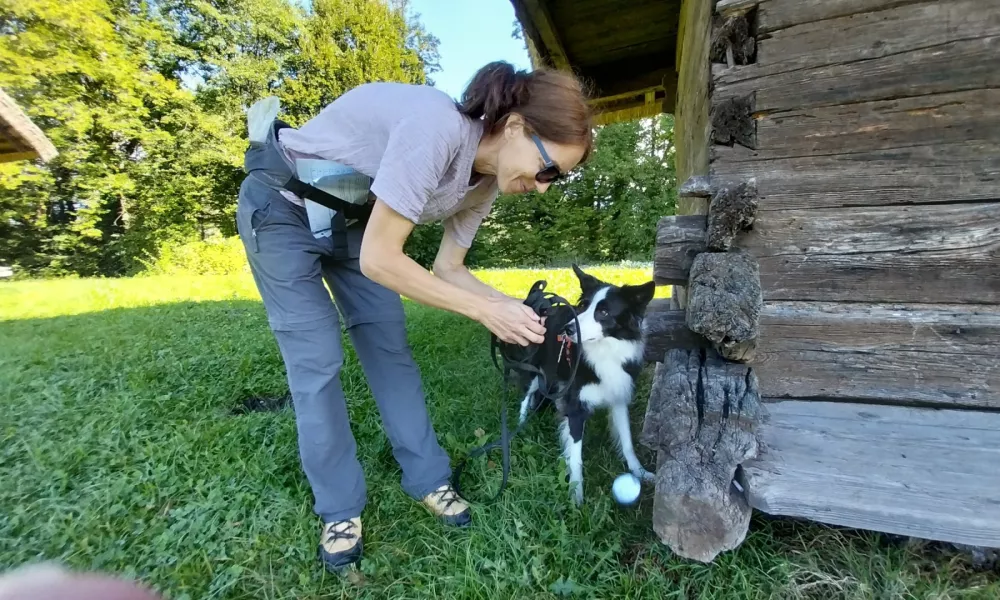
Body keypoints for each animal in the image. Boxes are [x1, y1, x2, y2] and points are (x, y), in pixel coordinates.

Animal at [520, 264, 660, 504]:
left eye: (603, 312)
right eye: (583, 306)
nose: (567, 329)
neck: (604, 351)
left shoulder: (618, 396)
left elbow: (627, 441)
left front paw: (640, 472)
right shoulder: (576, 407)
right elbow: (576, 456)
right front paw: (576, 496)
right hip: (533, 371)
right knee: (524, 397)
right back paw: (520, 425)